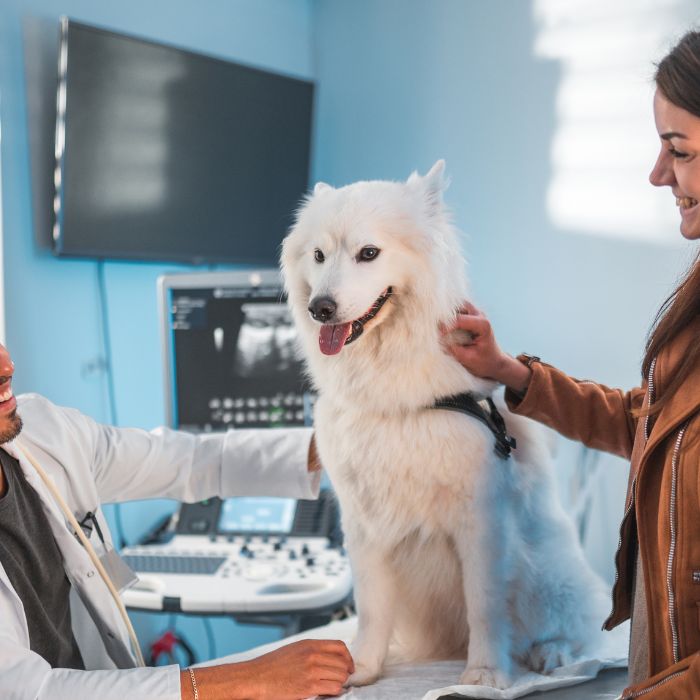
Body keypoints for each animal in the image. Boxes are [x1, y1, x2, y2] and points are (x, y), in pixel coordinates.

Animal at [278, 160, 608, 688]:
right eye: (319, 255)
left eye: (368, 253)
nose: (320, 308)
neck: (392, 392)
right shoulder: (364, 524)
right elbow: (371, 607)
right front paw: (362, 668)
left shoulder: (481, 520)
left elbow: (485, 605)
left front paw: (486, 675)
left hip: (546, 572)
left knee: (572, 629)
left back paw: (552, 654)